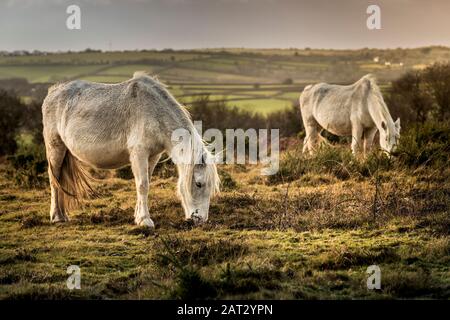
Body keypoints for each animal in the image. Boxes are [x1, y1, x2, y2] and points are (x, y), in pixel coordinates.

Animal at [41, 72, 221, 228]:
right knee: (54, 179)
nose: (200, 220)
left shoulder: (153, 156)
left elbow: (145, 182)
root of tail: (52, 92)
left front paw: (138, 216)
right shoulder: (139, 154)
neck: (155, 111)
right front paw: (145, 220)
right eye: (198, 184)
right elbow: (143, 185)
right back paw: (57, 217)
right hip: (55, 148)